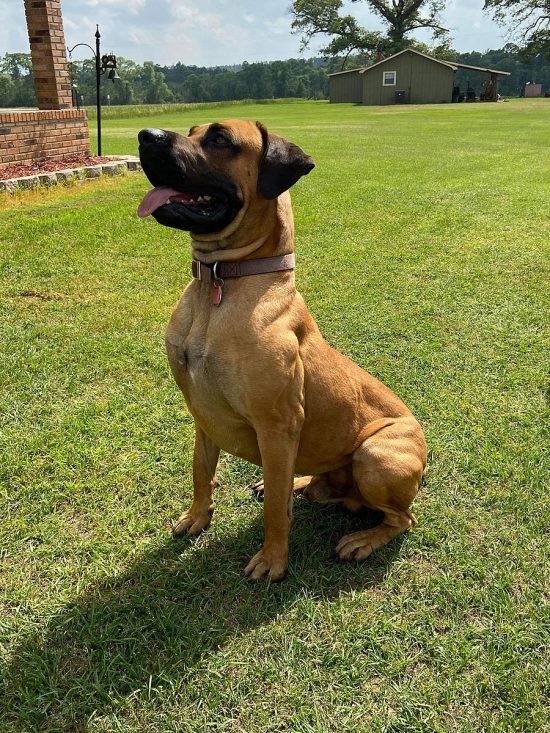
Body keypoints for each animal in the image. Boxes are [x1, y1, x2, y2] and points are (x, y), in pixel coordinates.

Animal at [137, 118, 426, 576]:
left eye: (219, 139)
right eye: (192, 130)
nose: (146, 136)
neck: (218, 285)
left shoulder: (276, 426)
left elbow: (275, 507)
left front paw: (272, 560)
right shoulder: (203, 416)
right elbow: (201, 472)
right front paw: (197, 516)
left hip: (375, 454)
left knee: (402, 518)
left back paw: (362, 539)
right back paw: (307, 483)